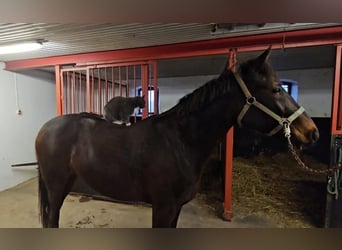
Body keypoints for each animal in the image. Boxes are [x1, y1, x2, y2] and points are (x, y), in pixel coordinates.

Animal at [35, 47, 320, 229]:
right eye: (276, 89)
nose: (312, 131)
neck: (180, 142)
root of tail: (45, 128)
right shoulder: (163, 208)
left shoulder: (176, 209)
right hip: (57, 188)